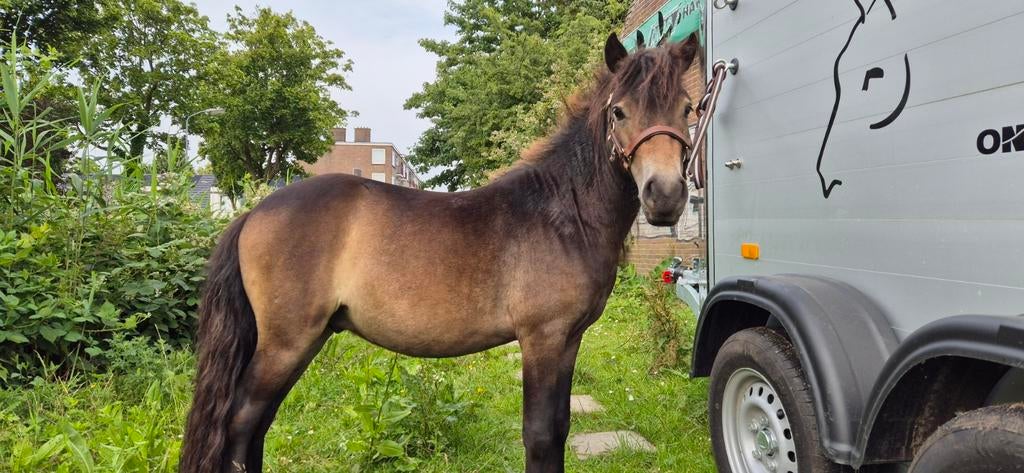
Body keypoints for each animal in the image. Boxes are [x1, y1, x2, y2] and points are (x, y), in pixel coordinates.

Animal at [180, 32, 702, 473]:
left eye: (688, 108)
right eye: (619, 112)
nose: (665, 195)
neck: (563, 213)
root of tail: (253, 213)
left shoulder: (569, 340)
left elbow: (559, 428)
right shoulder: (543, 339)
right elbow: (540, 435)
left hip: (302, 340)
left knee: (256, 425)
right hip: (287, 341)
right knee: (241, 422)